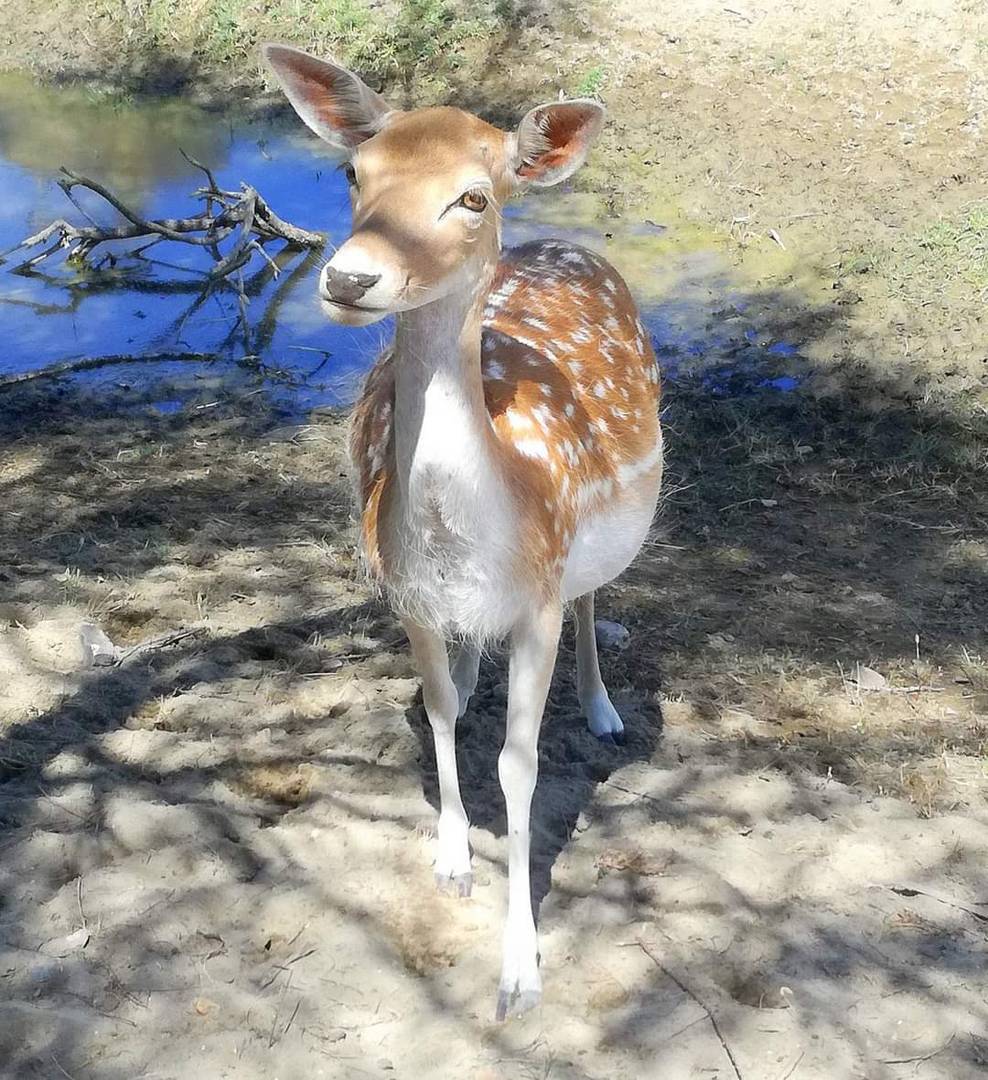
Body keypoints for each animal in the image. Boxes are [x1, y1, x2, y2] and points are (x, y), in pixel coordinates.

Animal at [262, 44, 665, 1019]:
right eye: (354, 173)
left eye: (473, 196)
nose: (350, 278)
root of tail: (562, 243)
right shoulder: (403, 590)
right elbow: (441, 708)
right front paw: (450, 860)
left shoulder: (540, 599)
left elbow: (519, 766)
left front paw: (520, 972)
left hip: (593, 551)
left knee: (597, 596)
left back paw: (603, 710)